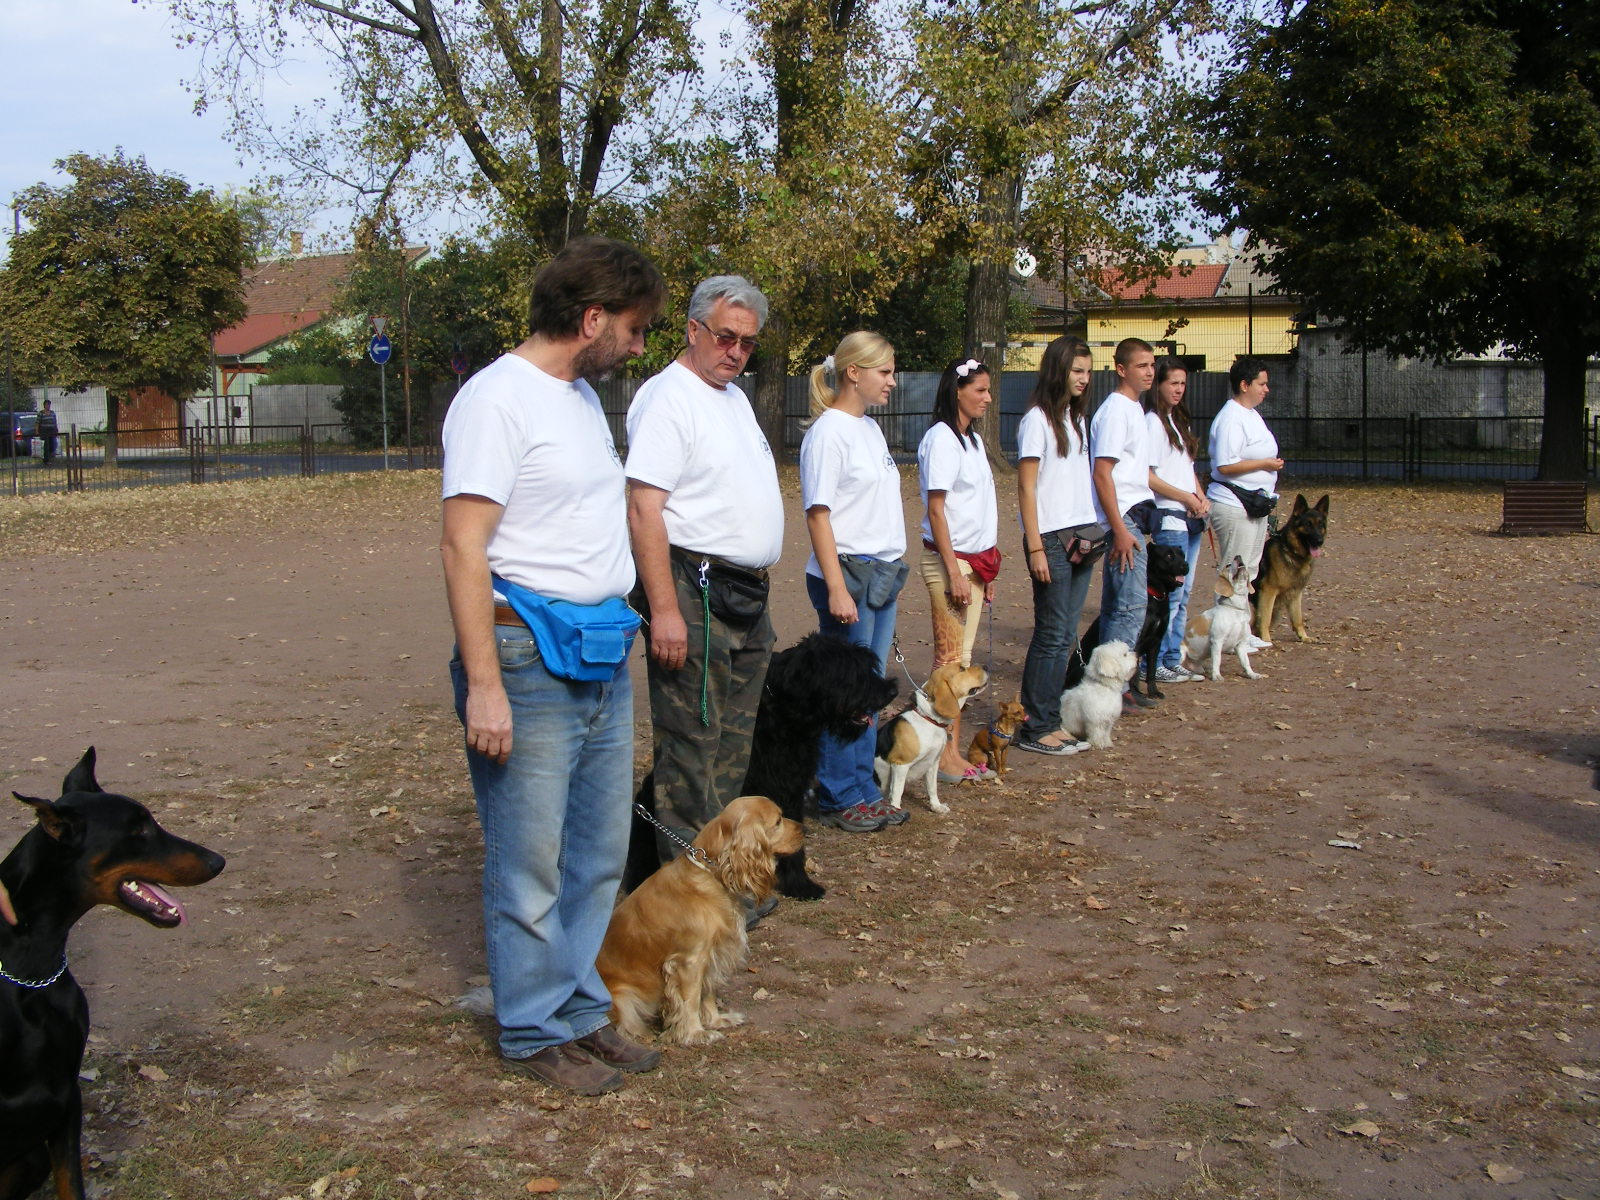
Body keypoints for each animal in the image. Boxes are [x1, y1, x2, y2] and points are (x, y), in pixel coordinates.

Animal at [1062, 544, 1190, 704]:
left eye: (1182, 555)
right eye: (1169, 556)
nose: (1186, 565)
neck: (1156, 596)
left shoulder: (1156, 641)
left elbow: (1151, 670)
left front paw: (1153, 692)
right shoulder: (1137, 642)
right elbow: (1134, 672)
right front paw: (1136, 695)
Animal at [1254, 496, 1331, 643]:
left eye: (1320, 525)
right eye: (1308, 524)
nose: (1320, 541)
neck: (1291, 552)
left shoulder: (1295, 593)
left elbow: (1298, 619)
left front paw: (1303, 637)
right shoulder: (1268, 591)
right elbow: (1265, 618)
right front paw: (1266, 639)